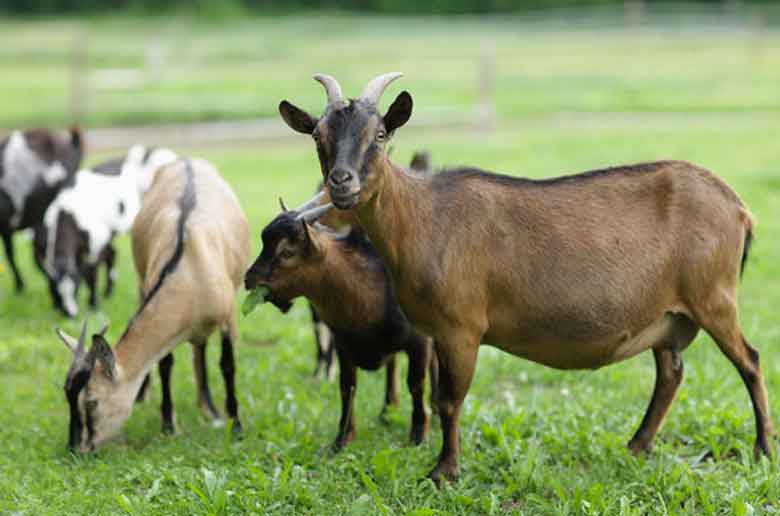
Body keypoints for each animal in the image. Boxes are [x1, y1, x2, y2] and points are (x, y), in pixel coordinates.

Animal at [37, 143, 177, 316]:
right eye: (56, 291)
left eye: (75, 288)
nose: (70, 314)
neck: (68, 215)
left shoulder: (95, 246)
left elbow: (91, 274)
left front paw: (93, 304)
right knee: (112, 253)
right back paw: (108, 292)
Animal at [245, 200, 438, 450]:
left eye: (287, 252)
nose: (248, 279)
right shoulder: (343, 345)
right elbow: (347, 387)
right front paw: (342, 439)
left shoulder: (419, 341)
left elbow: (416, 384)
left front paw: (418, 436)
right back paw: (387, 412)